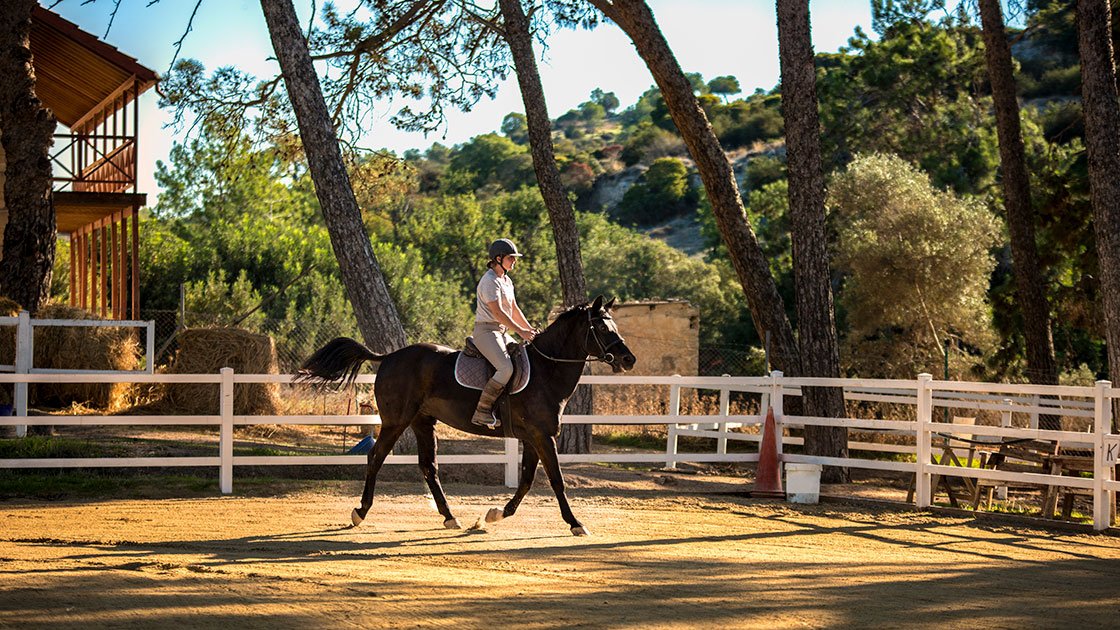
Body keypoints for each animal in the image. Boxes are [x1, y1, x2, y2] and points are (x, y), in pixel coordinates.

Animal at [296, 295, 637, 536]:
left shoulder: (532, 438)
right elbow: (556, 481)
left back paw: (450, 517)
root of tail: (391, 356)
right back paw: (360, 512)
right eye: (602, 328)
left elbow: (527, 480)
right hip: (396, 421)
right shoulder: (542, 436)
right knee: (376, 457)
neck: (546, 370)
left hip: (422, 422)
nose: (628, 359)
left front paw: (495, 514)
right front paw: (576, 523)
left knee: (428, 467)